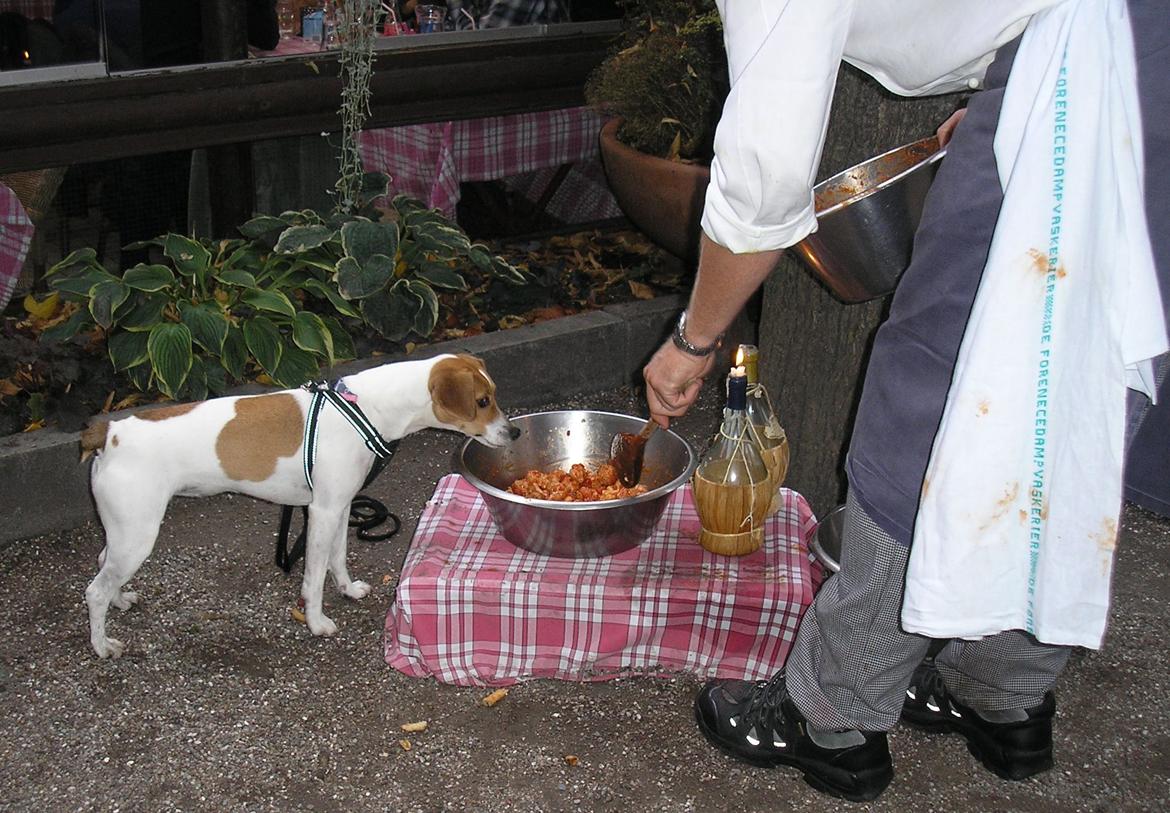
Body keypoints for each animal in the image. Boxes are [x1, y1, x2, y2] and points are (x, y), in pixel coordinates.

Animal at [82, 353, 517, 659]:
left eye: (495, 395)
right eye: (482, 401)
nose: (512, 432)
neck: (366, 408)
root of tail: (111, 432)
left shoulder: (339, 506)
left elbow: (338, 558)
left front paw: (348, 589)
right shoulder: (322, 512)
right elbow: (315, 575)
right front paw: (317, 621)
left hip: (124, 533)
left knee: (103, 564)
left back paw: (121, 599)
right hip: (138, 535)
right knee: (94, 591)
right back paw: (102, 645)